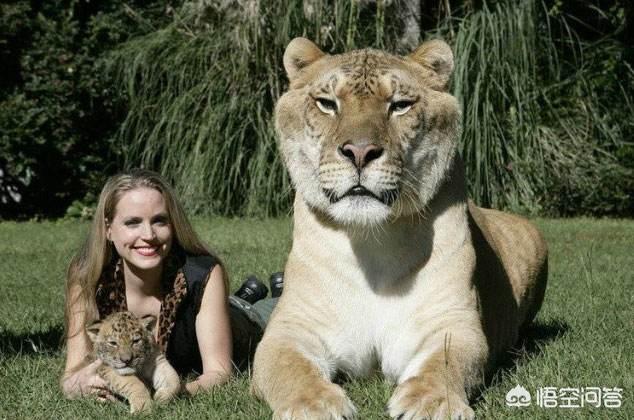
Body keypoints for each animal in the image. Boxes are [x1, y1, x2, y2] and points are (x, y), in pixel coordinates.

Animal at [249, 37, 544, 418]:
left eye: (400, 105)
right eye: (327, 103)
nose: (360, 152)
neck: (370, 242)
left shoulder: (451, 322)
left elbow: (445, 362)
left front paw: (432, 402)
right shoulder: (291, 328)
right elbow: (287, 366)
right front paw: (314, 405)